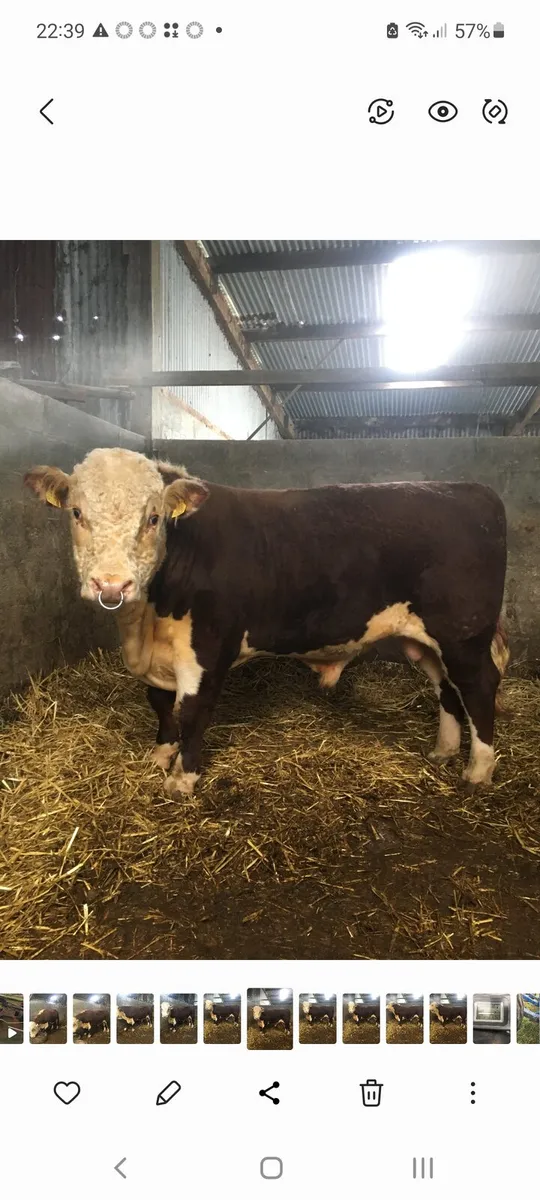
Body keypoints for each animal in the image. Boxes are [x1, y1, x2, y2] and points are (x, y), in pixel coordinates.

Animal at [24, 448, 509, 796]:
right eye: (77, 513)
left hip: (464, 633)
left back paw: (477, 771)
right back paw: (443, 752)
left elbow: (193, 711)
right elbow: (161, 705)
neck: (144, 623)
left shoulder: (209, 649)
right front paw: (161, 755)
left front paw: (182, 778)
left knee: (478, 687)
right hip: (427, 641)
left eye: (154, 517)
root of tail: (470, 489)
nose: (112, 584)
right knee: (446, 688)